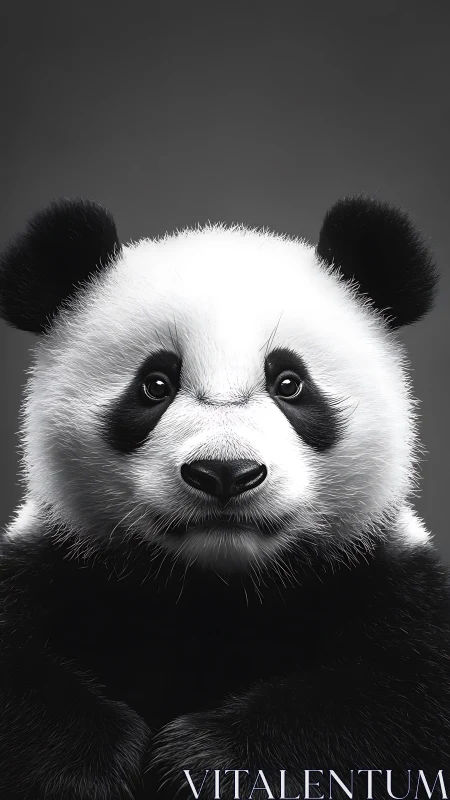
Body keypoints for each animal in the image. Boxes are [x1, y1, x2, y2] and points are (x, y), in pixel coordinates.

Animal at [0, 195, 449, 800]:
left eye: (290, 383)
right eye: (155, 385)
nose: (225, 472)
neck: (216, 589)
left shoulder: (388, 578)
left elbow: (393, 698)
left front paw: (204, 762)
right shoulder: (56, 562)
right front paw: (91, 765)